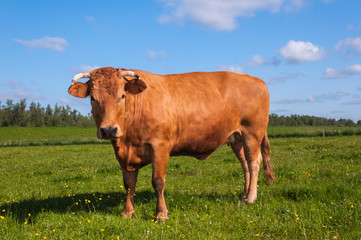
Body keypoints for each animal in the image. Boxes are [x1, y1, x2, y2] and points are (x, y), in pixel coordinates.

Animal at [68, 66, 276, 220]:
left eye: (122, 96)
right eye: (93, 98)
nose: (109, 130)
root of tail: (256, 80)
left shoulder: (160, 146)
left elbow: (158, 181)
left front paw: (161, 214)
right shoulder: (123, 153)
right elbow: (128, 184)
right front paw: (127, 212)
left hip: (252, 133)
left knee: (254, 162)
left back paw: (251, 197)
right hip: (236, 138)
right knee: (245, 164)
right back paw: (244, 193)